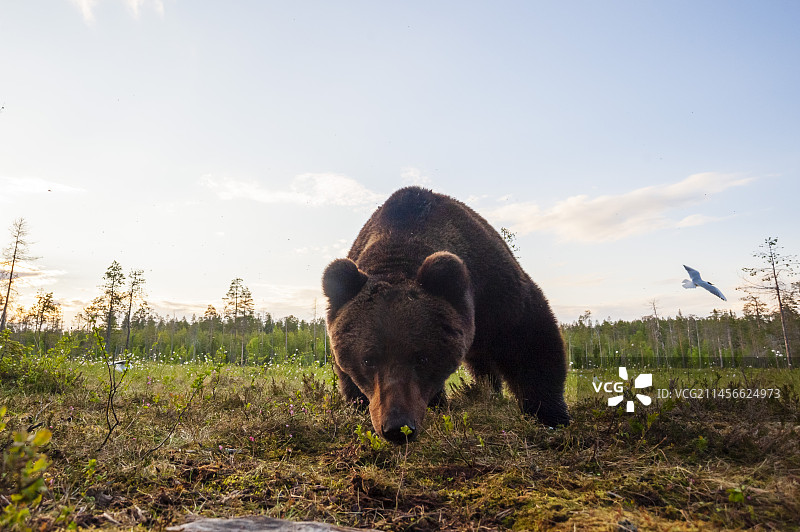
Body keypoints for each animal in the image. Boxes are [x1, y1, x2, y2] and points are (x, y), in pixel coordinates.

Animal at [322, 186, 569, 444]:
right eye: (367, 360)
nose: (398, 427)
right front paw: (359, 404)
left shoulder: (493, 289)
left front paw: (551, 415)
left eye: (422, 358)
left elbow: (530, 338)